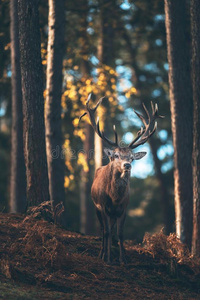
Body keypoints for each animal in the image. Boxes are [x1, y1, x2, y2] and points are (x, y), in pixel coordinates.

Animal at [79, 93, 163, 262]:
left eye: (131, 157)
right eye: (116, 155)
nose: (127, 165)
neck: (115, 198)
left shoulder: (123, 208)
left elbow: (120, 233)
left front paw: (123, 259)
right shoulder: (103, 206)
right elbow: (106, 232)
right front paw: (106, 258)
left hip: (112, 214)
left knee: (111, 230)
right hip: (96, 207)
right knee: (103, 230)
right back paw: (102, 253)